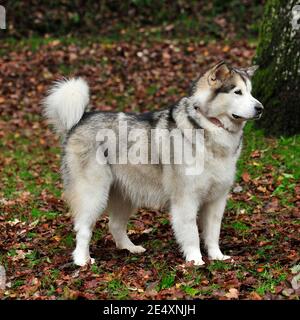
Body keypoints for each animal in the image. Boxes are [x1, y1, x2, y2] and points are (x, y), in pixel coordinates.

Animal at [42, 61, 262, 266]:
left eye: (250, 92)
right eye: (237, 92)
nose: (260, 108)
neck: (210, 126)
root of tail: (81, 118)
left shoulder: (217, 199)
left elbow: (213, 232)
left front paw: (217, 256)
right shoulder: (186, 199)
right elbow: (191, 233)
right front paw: (195, 260)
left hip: (125, 195)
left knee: (115, 225)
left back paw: (130, 248)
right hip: (93, 194)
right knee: (83, 229)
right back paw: (82, 260)